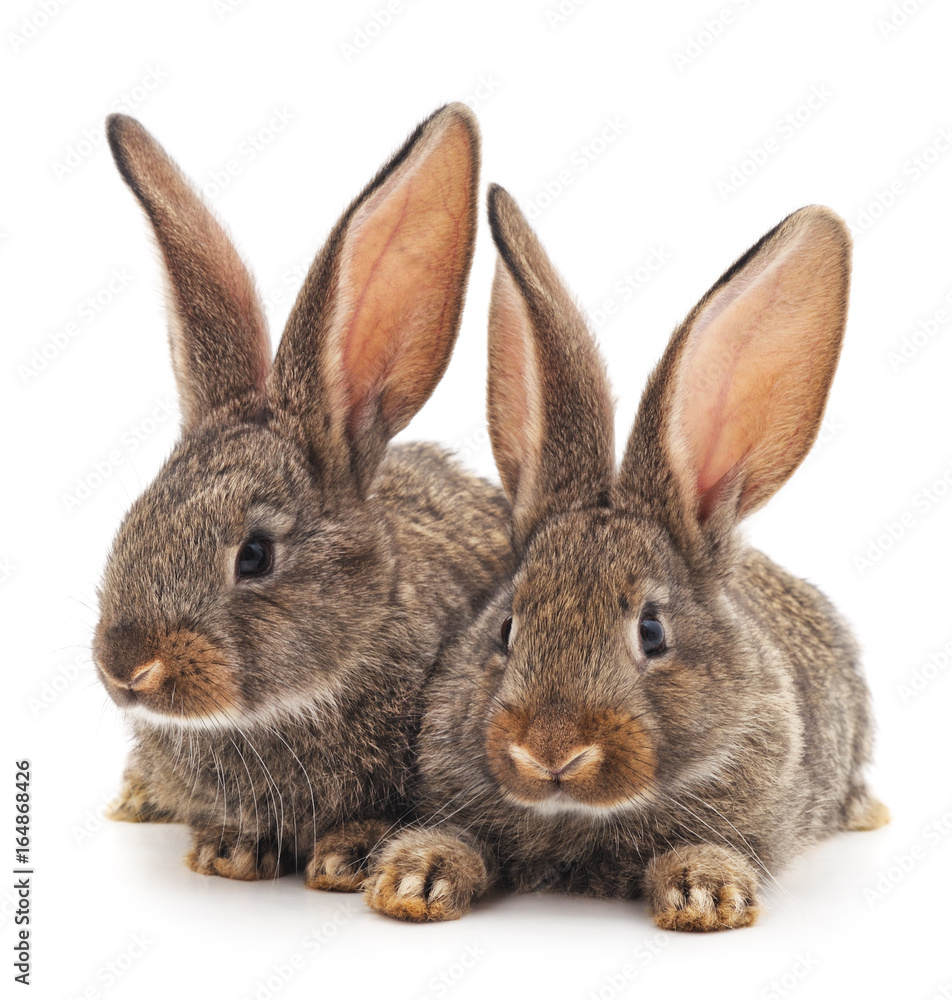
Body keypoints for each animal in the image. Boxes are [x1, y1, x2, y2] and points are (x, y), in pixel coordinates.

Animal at [359, 185, 889, 930]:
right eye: (507, 628)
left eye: (652, 631)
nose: (550, 752)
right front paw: (415, 877)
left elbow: (717, 851)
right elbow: (458, 839)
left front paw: (705, 895)